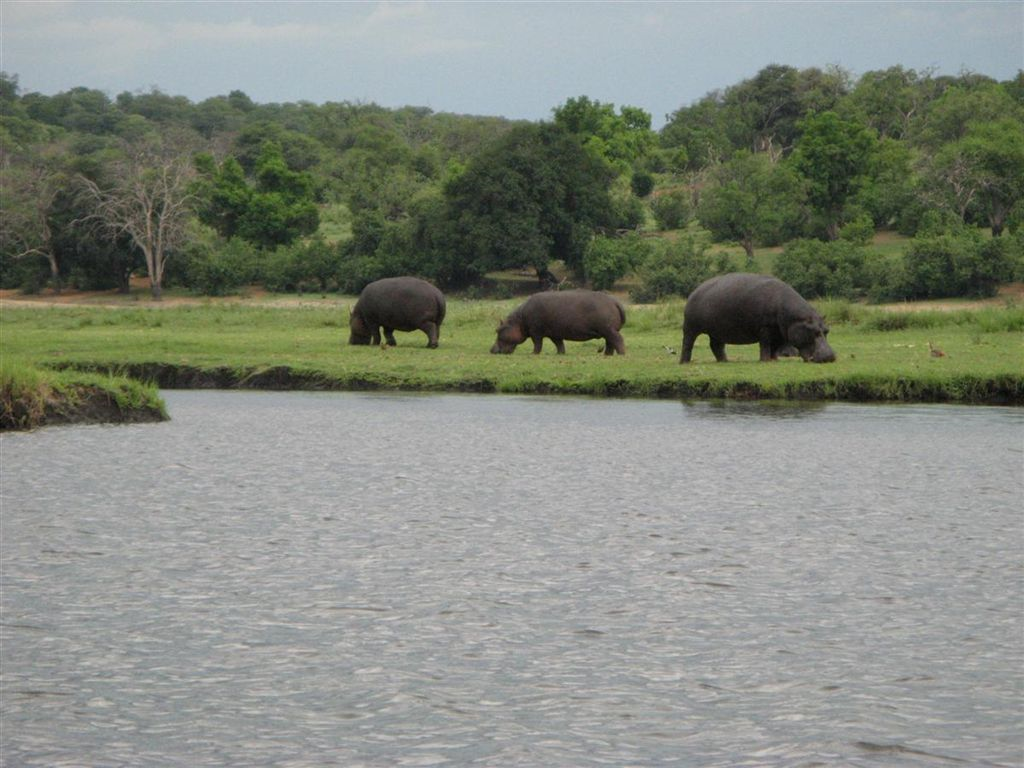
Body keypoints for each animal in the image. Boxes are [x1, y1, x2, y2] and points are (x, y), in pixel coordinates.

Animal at [487, 290, 622, 358]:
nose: (491, 350)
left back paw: (621, 354)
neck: (519, 320)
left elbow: (537, 343)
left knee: (618, 340)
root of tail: (615, 301)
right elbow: (559, 344)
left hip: (608, 329)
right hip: (607, 331)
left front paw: (533, 354)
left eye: (498, 330)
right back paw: (607, 355)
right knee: (610, 343)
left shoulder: (536, 332)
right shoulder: (554, 333)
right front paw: (560, 354)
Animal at [679, 274, 831, 364]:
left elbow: (775, 347)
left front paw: (774, 360)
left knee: (716, 346)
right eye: (814, 331)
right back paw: (684, 362)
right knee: (687, 344)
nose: (829, 356)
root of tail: (695, 290)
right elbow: (765, 345)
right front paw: (765, 361)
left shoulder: (781, 331)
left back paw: (725, 361)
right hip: (690, 328)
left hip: (717, 331)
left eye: (826, 330)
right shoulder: (765, 327)